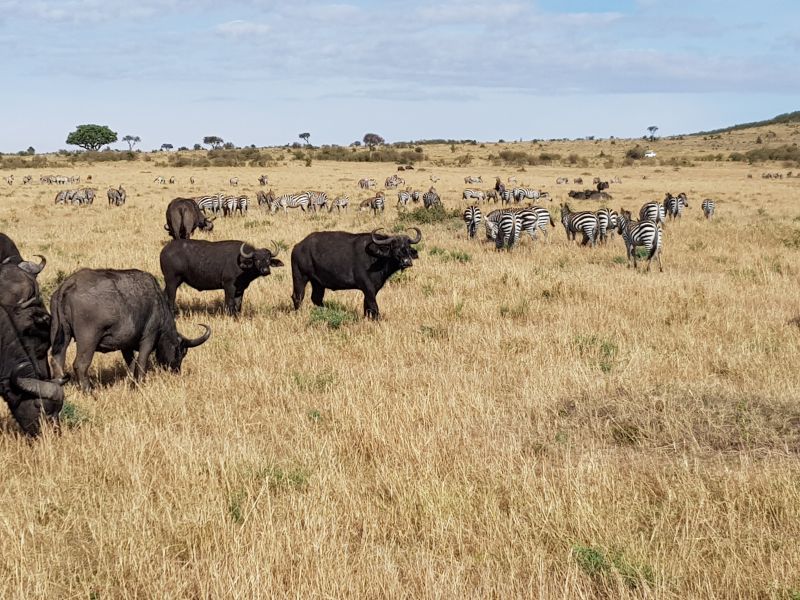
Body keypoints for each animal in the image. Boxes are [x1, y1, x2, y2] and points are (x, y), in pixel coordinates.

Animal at [48, 268, 212, 392]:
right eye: (181, 353)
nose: (176, 371)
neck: (158, 304)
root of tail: (69, 283)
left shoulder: (125, 346)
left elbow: (131, 364)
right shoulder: (149, 338)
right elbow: (141, 363)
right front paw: (139, 385)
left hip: (61, 335)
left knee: (57, 361)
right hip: (88, 340)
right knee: (80, 365)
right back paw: (89, 391)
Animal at [290, 227, 422, 318]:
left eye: (408, 247)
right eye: (394, 247)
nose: (406, 262)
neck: (377, 258)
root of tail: (297, 247)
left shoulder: (373, 289)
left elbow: (367, 306)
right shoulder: (368, 288)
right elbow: (374, 307)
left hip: (318, 283)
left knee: (316, 298)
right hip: (300, 277)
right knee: (298, 297)